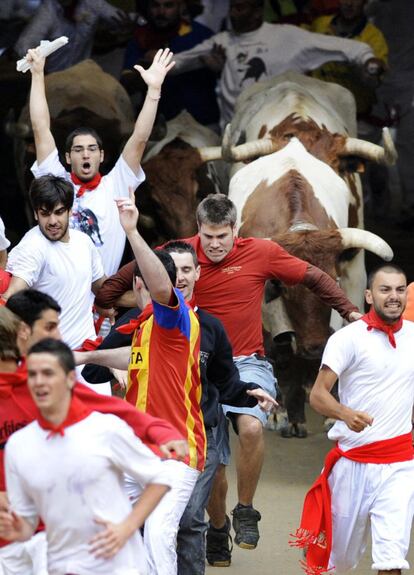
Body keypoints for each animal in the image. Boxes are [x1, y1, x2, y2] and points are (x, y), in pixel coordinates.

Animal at [220, 71, 394, 436]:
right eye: (287, 290)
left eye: (331, 283)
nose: (314, 345)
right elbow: (277, 348)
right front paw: (282, 411)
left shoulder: (352, 272)